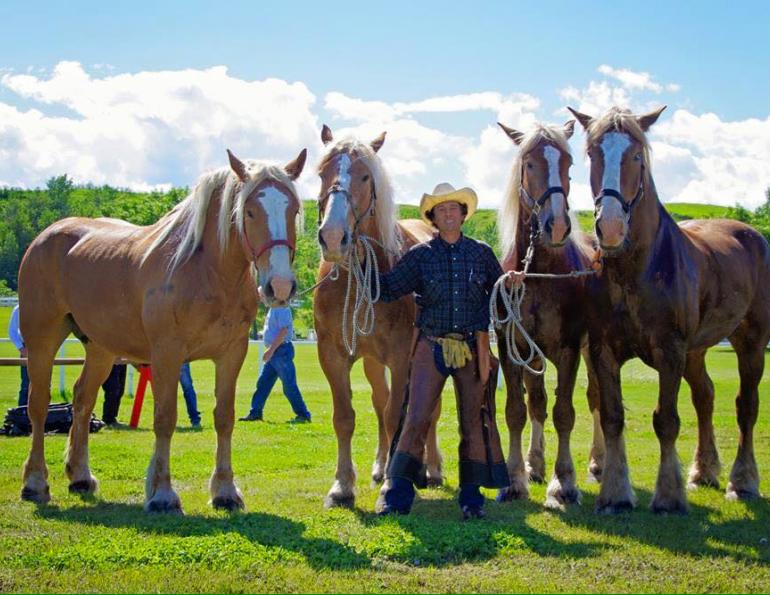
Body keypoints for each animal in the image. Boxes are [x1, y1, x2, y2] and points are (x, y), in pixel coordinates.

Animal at [18, 148, 307, 512]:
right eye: (250, 211)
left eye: (294, 209)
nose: (280, 286)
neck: (206, 273)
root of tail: (46, 236)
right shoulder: (167, 355)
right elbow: (165, 418)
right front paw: (162, 494)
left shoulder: (231, 354)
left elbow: (224, 417)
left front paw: (225, 491)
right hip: (42, 339)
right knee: (38, 405)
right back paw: (34, 483)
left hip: (100, 348)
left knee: (82, 400)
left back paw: (80, 476)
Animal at [313, 125, 443, 508]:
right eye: (321, 172)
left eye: (365, 176)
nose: (333, 237)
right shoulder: (332, 355)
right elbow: (345, 417)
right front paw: (342, 485)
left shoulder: (401, 358)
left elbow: (394, 415)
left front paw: (392, 482)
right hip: (372, 362)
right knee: (381, 400)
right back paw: (384, 463)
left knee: (427, 410)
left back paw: (430, 468)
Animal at [494, 121, 603, 508]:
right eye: (529, 164)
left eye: (568, 164)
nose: (556, 225)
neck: (539, 273)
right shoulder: (514, 350)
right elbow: (518, 410)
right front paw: (515, 478)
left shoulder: (570, 350)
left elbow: (565, 413)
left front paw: (564, 483)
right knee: (537, 404)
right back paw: (535, 464)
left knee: (596, 400)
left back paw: (598, 464)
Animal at [569, 105, 770, 513]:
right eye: (593, 154)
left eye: (635, 156)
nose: (610, 227)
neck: (634, 272)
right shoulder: (603, 351)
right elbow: (612, 417)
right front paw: (615, 492)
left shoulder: (670, 351)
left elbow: (666, 421)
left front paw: (667, 496)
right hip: (697, 352)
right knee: (705, 397)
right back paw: (704, 470)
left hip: (751, 343)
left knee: (746, 406)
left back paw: (742, 481)